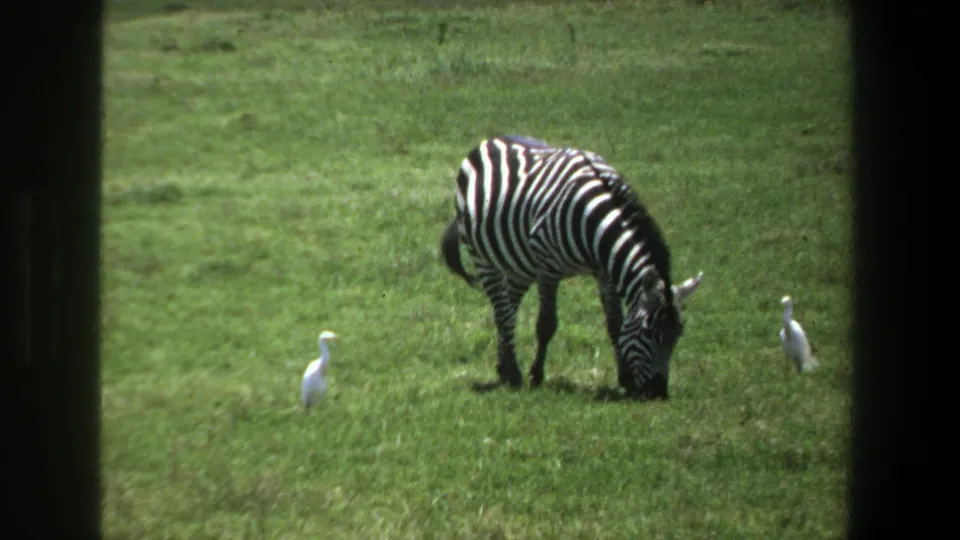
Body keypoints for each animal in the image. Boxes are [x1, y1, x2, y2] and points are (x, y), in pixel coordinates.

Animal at [440, 135, 702, 399]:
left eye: (679, 332)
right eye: (647, 331)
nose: (658, 393)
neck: (595, 224)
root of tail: (493, 139)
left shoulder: (604, 273)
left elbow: (615, 323)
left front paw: (625, 378)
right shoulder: (547, 268)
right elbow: (546, 324)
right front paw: (536, 376)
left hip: (519, 265)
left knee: (509, 308)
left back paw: (504, 367)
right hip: (483, 257)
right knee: (501, 312)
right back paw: (513, 374)